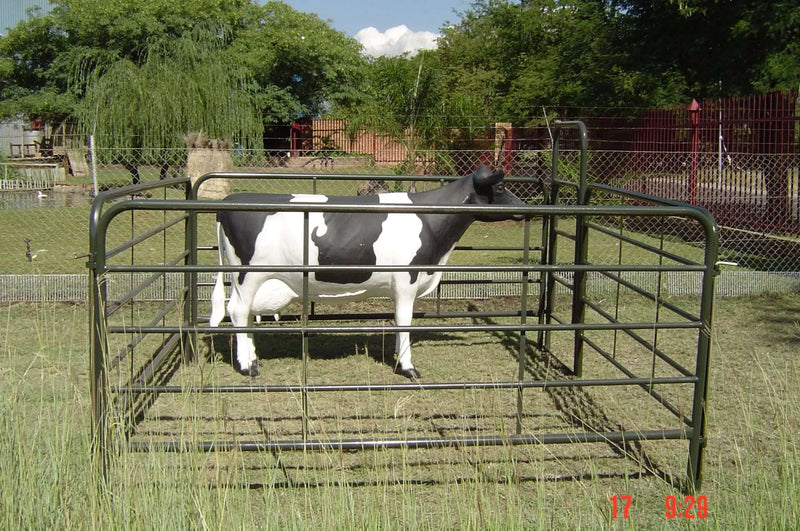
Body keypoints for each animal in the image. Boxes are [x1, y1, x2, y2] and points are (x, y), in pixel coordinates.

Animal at [209, 164, 525, 379]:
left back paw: (253, 357)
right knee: (237, 311)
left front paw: (398, 357)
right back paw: (248, 366)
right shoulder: (407, 280)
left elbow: (398, 322)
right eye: (499, 188)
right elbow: (404, 321)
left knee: (245, 314)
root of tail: (229, 203)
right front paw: (408, 367)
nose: (526, 206)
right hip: (249, 274)